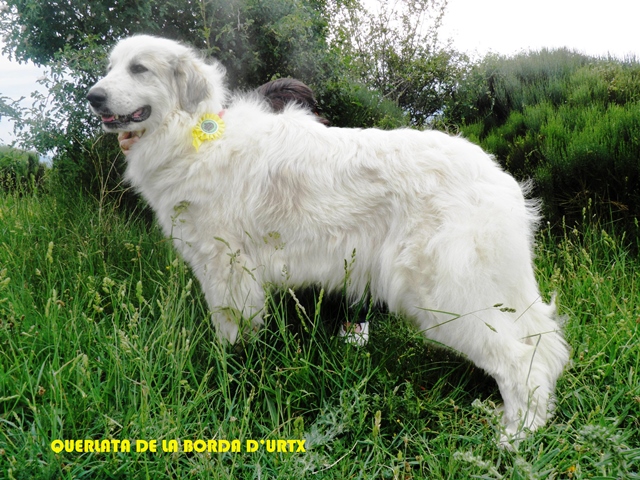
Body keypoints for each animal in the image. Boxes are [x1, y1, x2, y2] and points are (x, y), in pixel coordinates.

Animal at [86, 34, 568, 442]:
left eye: (139, 68)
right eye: (111, 67)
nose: (93, 96)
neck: (193, 135)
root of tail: (497, 176)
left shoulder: (227, 273)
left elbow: (232, 339)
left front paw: (227, 379)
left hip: (445, 295)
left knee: (518, 359)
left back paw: (515, 438)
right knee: (537, 351)